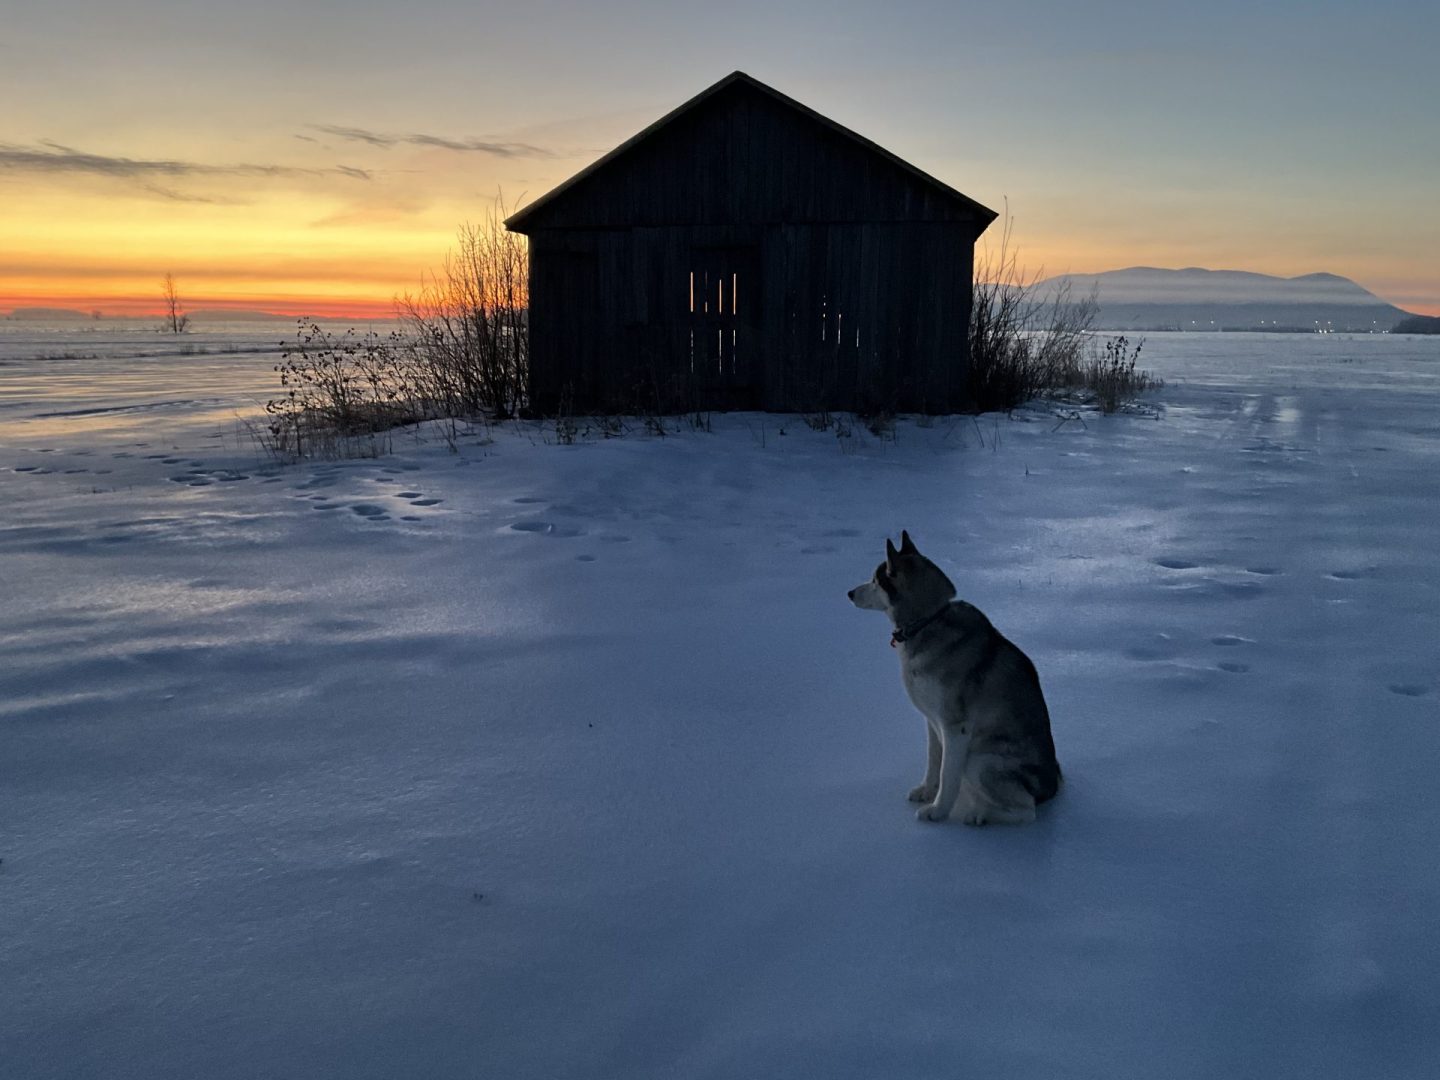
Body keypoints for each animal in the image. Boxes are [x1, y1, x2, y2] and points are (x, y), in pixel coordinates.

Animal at [840, 532, 1059, 829]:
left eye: (875, 580)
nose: (850, 593)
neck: (927, 621)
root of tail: (1052, 787)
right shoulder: (933, 722)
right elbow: (934, 762)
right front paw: (926, 791)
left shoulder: (955, 728)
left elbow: (947, 774)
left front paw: (938, 811)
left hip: (979, 761)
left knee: (1027, 811)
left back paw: (979, 815)